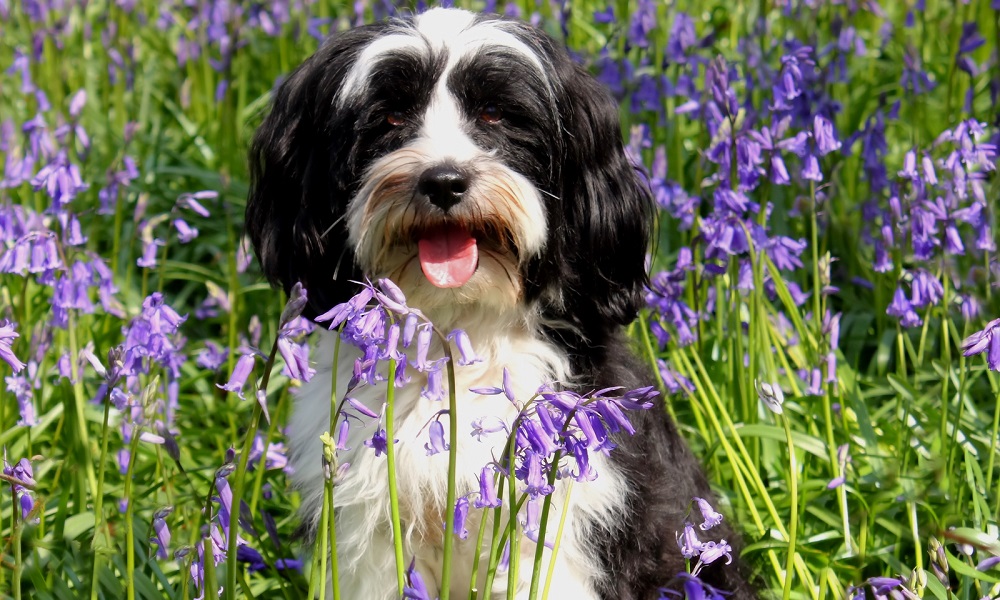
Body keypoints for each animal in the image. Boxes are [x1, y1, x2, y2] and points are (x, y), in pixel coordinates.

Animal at [246, 7, 752, 596]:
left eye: (494, 113)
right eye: (390, 117)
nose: (444, 181)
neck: (455, 334)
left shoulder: (563, 524)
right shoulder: (366, 537)